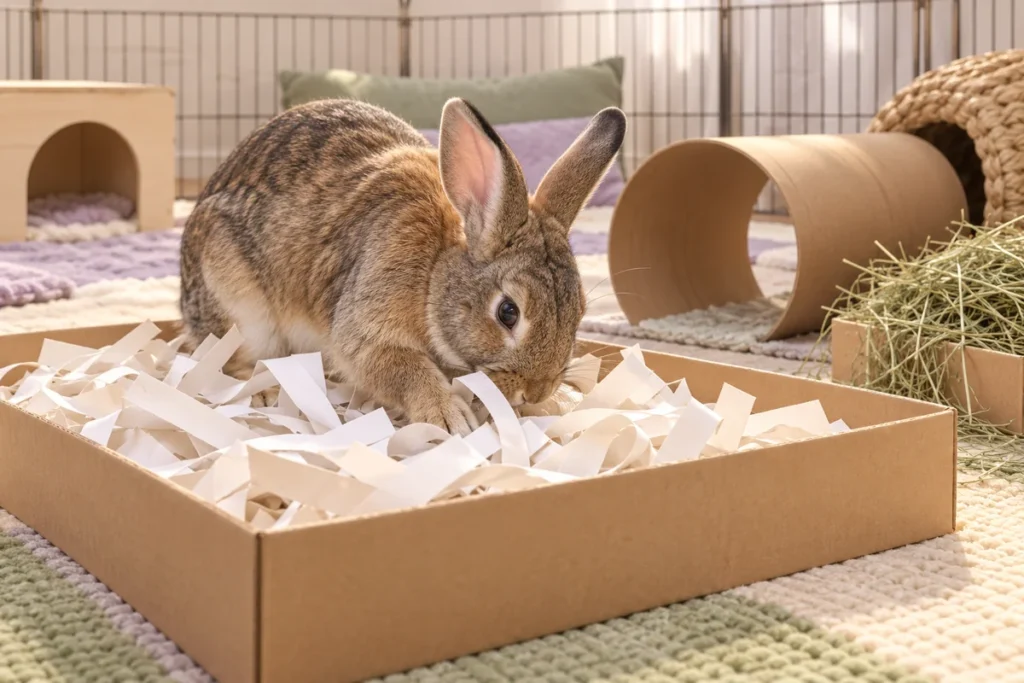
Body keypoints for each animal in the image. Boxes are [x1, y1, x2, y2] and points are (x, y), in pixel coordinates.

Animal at [179, 96, 626, 435]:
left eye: (579, 314)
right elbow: (399, 367)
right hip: (243, 313)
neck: (435, 271)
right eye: (507, 313)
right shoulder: (368, 323)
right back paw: (267, 391)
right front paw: (449, 417)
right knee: (229, 361)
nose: (536, 392)